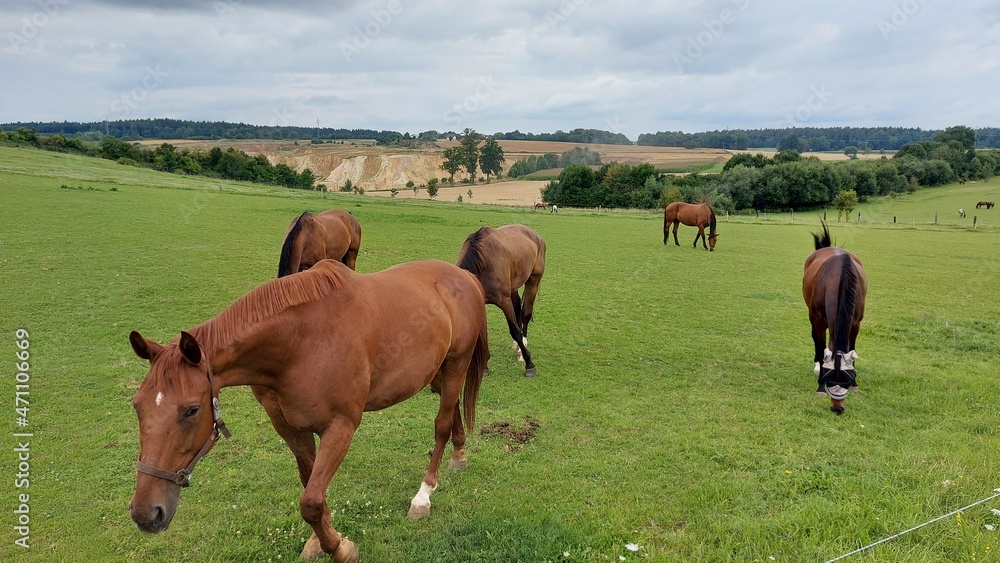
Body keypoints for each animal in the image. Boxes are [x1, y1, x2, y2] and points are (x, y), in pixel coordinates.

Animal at [128, 260, 489, 563]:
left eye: (191, 410)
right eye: (137, 406)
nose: (146, 514)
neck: (298, 346)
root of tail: (463, 275)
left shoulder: (341, 427)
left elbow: (311, 502)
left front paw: (341, 548)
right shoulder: (290, 428)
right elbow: (310, 484)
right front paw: (320, 541)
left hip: (456, 365)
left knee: (441, 424)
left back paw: (423, 496)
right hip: (438, 373)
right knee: (453, 412)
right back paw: (459, 454)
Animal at [457, 224, 545, 377]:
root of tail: (535, 234)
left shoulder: (504, 301)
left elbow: (514, 330)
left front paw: (529, 364)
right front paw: (484, 365)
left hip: (533, 280)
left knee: (525, 314)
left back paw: (522, 350)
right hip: (513, 286)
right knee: (518, 309)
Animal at [802, 222, 868, 415]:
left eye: (847, 381)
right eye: (829, 379)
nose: (837, 408)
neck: (840, 278)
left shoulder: (856, 323)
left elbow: (851, 349)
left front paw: (856, 384)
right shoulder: (818, 321)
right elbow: (820, 347)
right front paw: (819, 387)